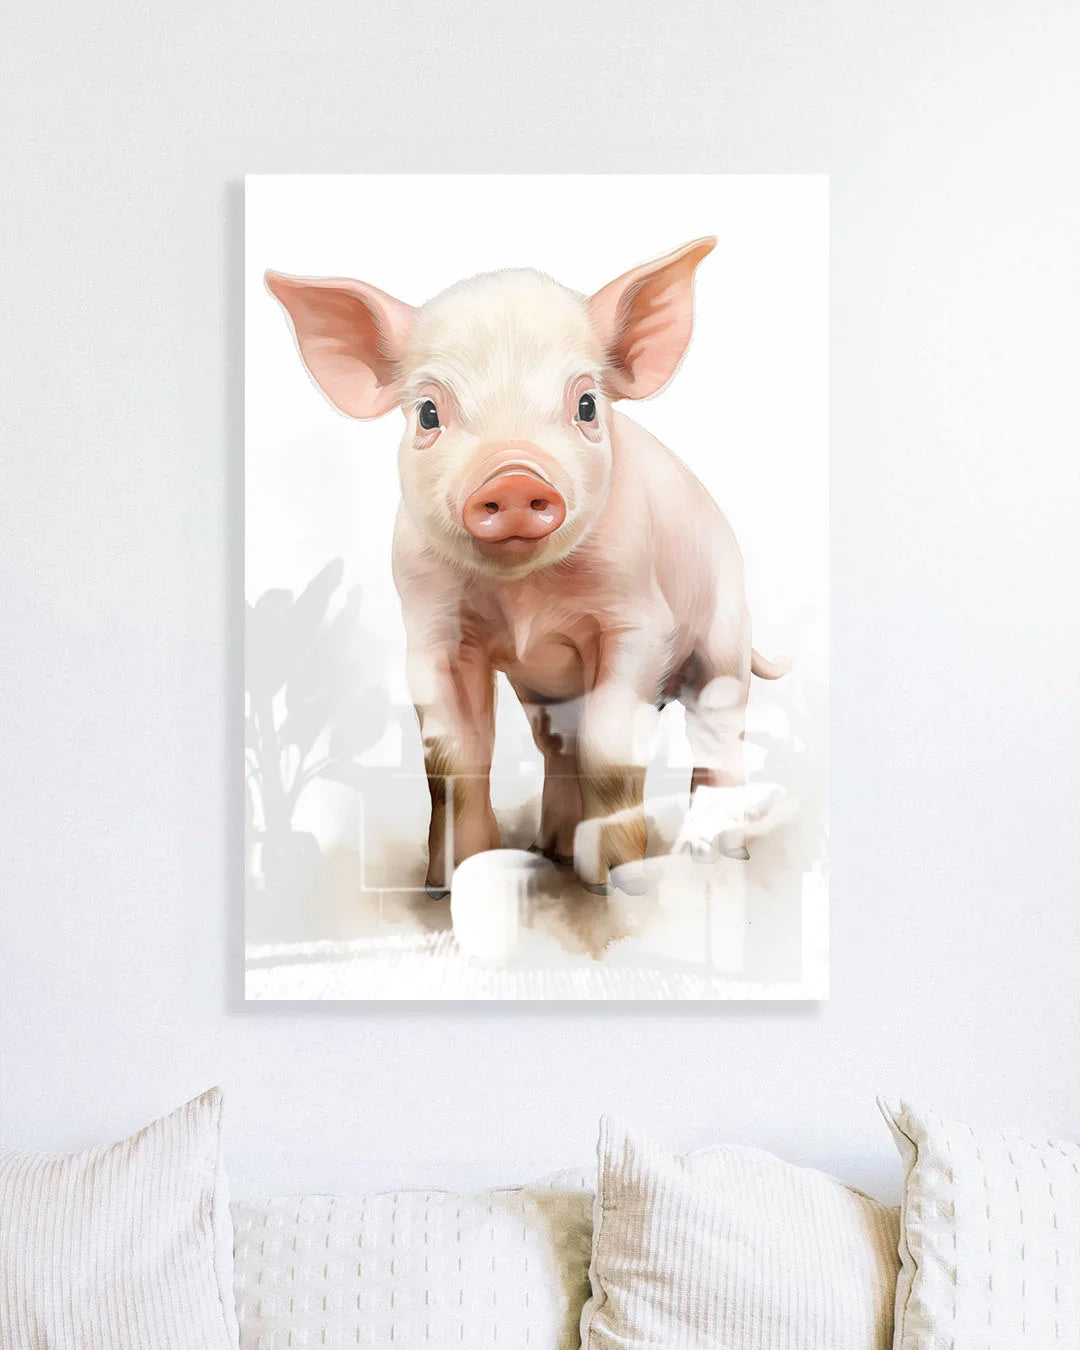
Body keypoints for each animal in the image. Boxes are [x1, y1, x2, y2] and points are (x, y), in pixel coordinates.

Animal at [266, 239, 787, 896]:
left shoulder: (639, 621)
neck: (524, 599)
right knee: (557, 748)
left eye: (586, 403)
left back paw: (714, 857)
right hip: (544, 690)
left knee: (718, 736)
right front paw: (451, 883)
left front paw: (618, 885)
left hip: (725, 635)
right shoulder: (432, 630)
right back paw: (551, 852)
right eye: (428, 413)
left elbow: (610, 746)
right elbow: (452, 757)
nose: (513, 478)